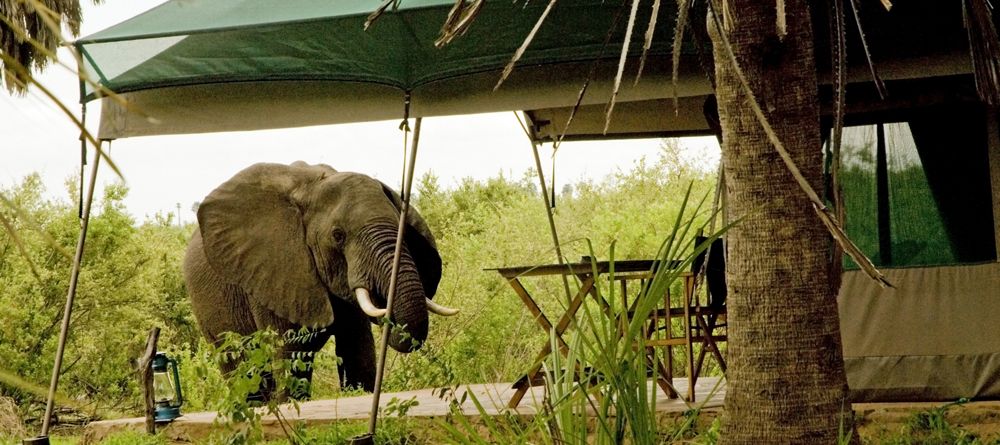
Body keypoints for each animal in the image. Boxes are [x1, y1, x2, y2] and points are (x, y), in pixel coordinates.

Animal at [184, 161, 458, 398]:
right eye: (338, 235)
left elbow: (358, 353)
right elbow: (291, 357)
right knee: (245, 372)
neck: (310, 189)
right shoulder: (271, 273)